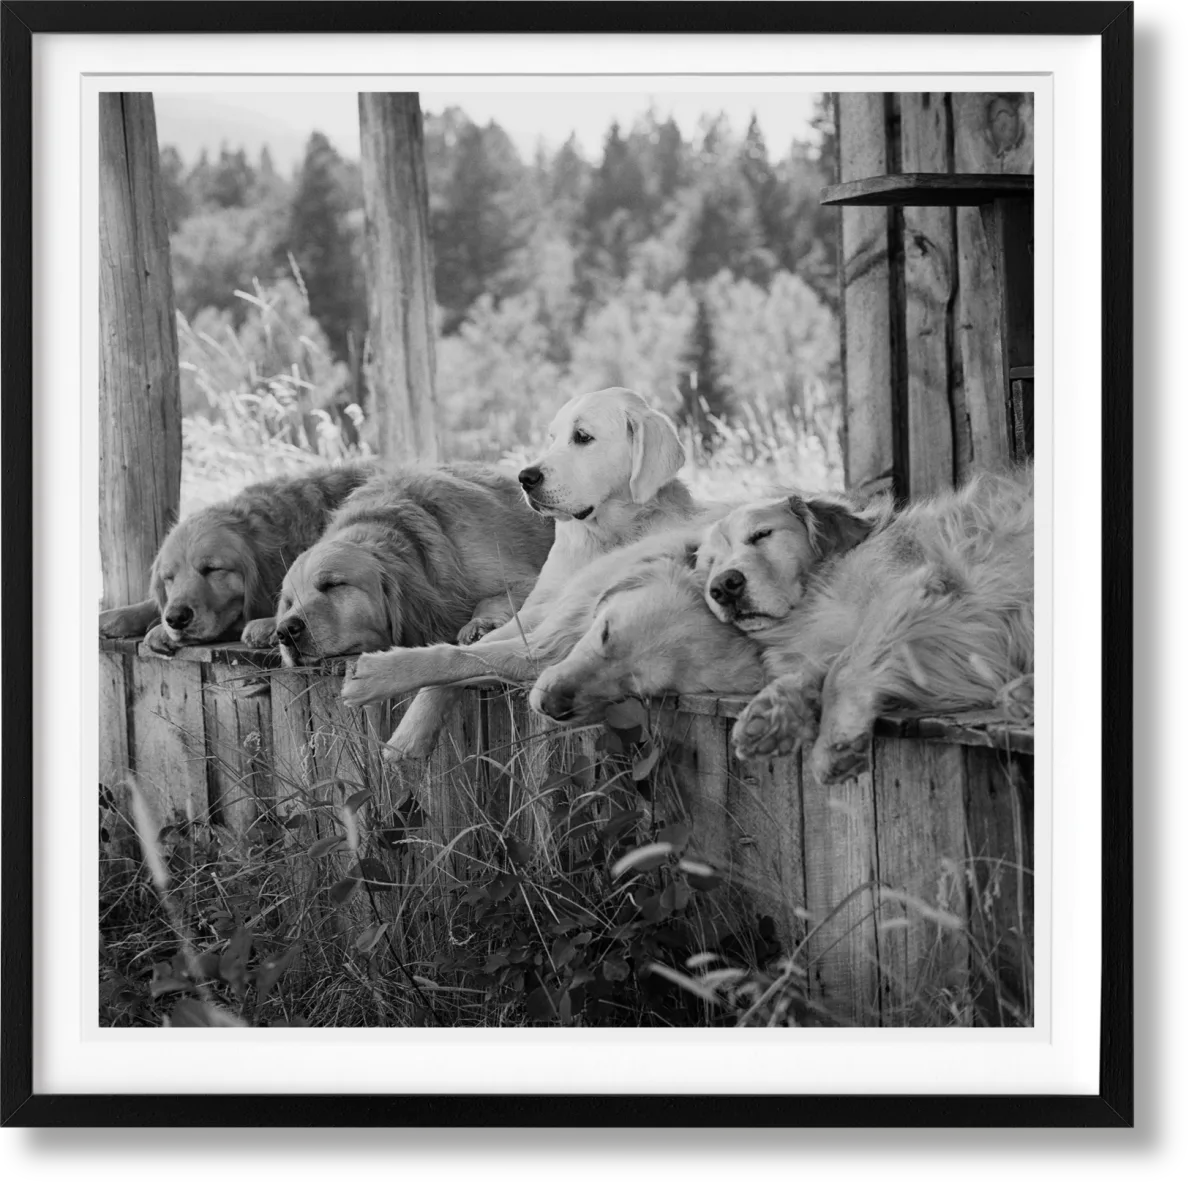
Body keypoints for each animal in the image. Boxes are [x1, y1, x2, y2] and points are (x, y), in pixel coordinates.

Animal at [274, 463, 554, 672]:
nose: (285, 631)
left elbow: (494, 598)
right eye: (289, 602)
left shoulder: (527, 577)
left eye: (333, 584)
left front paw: (479, 624)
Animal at [338, 525, 763, 729]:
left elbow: (470, 661)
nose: (553, 707)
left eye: (639, 691)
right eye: (605, 633)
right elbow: (462, 654)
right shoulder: (552, 620)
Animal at [696, 468, 1032, 792]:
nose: (723, 587)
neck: (814, 595)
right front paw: (771, 713)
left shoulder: (917, 593)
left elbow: (844, 668)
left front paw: (833, 740)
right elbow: (815, 669)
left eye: (761, 535)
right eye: (711, 562)